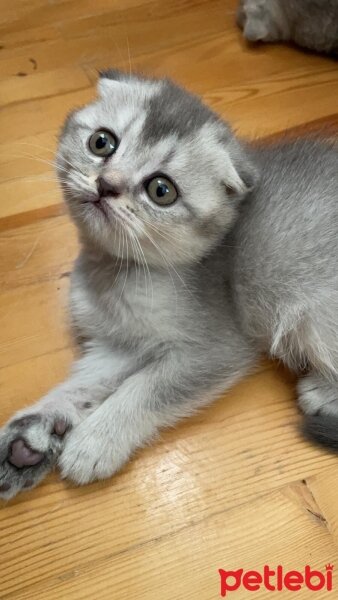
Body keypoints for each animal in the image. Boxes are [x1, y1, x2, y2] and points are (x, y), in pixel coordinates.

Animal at [0, 71, 338, 502]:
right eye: (101, 142)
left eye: (161, 190)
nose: (106, 184)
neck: (115, 274)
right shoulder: (117, 345)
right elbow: (84, 383)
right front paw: (36, 433)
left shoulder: (216, 348)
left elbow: (146, 388)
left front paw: (95, 440)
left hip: (316, 312)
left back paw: (323, 392)